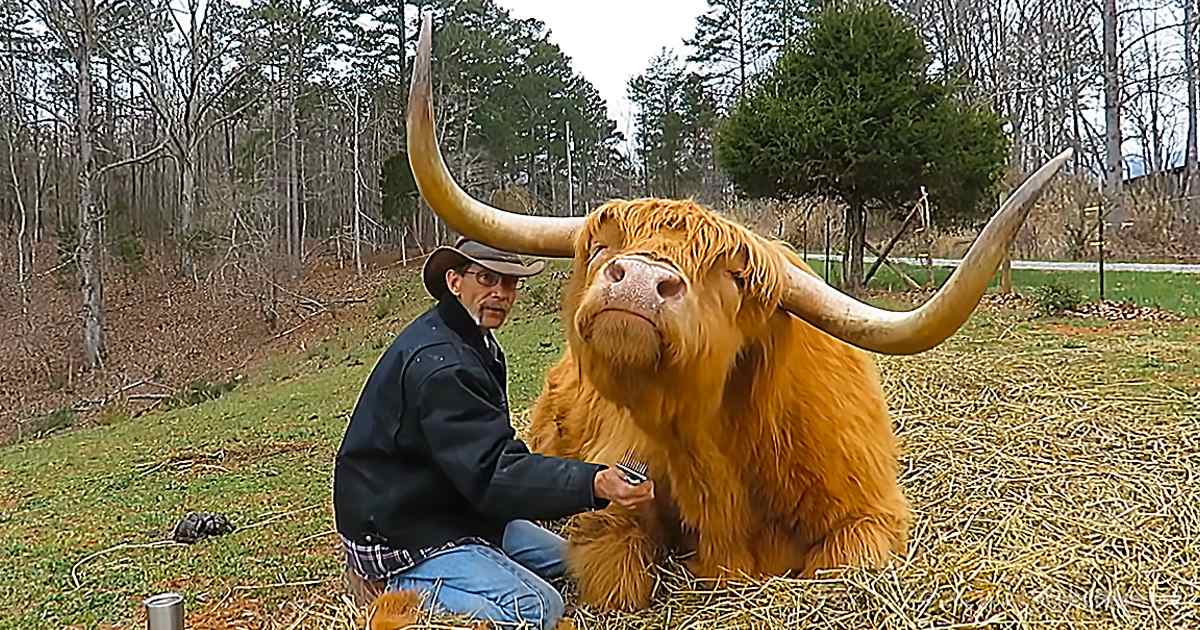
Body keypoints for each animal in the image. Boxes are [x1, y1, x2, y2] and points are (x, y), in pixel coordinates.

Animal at [374, 14, 1071, 623]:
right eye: (602, 247)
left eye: (735, 279)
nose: (637, 280)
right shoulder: (609, 501)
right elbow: (616, 572)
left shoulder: (871, 515)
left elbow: (841, 565)